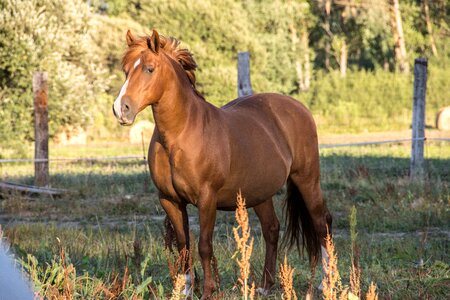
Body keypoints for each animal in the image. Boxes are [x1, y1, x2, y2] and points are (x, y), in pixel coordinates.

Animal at [112, 29, 330, 298]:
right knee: (271, 229)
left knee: (322, 223)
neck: (181, 133)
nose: (121, 109)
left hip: (307, 180)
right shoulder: (170, 200)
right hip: (259, 193)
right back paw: (265, 286)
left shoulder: (207, 199)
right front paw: (185, 290)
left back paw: (325, 283)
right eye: (126, 70)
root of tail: (299, 108)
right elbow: (184, 245)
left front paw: (207, 291)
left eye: (149, 69)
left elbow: (204, 245)